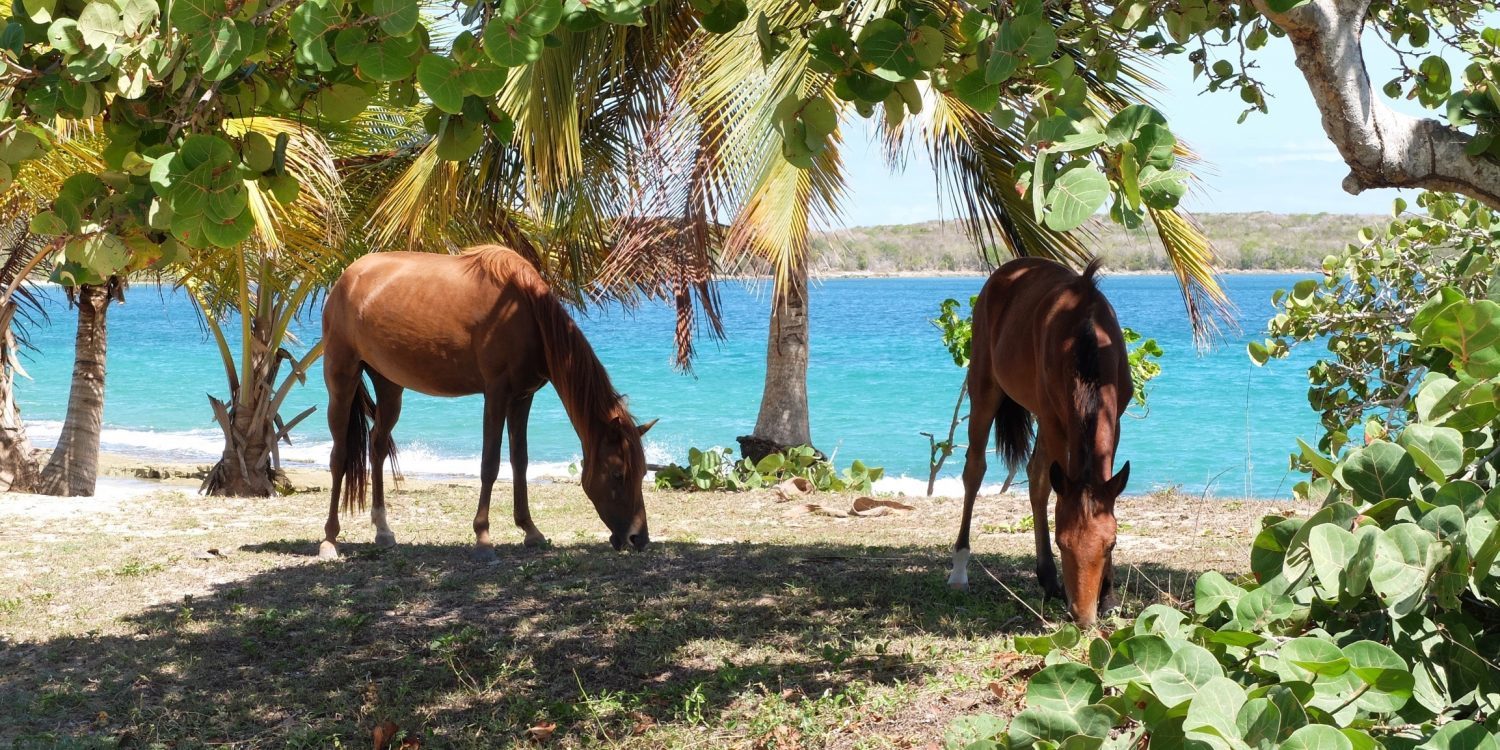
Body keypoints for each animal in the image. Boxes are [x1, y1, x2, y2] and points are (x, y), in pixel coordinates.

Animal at [317, 246, 655, 562]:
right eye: (617, 474)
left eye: (642, 472)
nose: (639, 538)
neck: (525, 312)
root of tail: (347, 277)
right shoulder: (496, 393)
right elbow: (490, 464)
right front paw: (483, 538)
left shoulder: (522, 397)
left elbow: (520, 462)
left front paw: (530, 531)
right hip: (342, 377)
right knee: (340, 456)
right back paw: (330, 539)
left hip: (389, 386)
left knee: (377, 447)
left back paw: (383, 531)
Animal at [947, 257, 1132, 627]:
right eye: (1062, 543)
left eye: (1112, 544)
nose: (1083, 617)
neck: (1085, 337)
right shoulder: (1054, 421)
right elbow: (1054, 491)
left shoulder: (1114, 419)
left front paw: (1108, 598)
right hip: (985, 388)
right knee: (976, 470)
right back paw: (960, 570)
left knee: (1035, 476)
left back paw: (1048, 580)